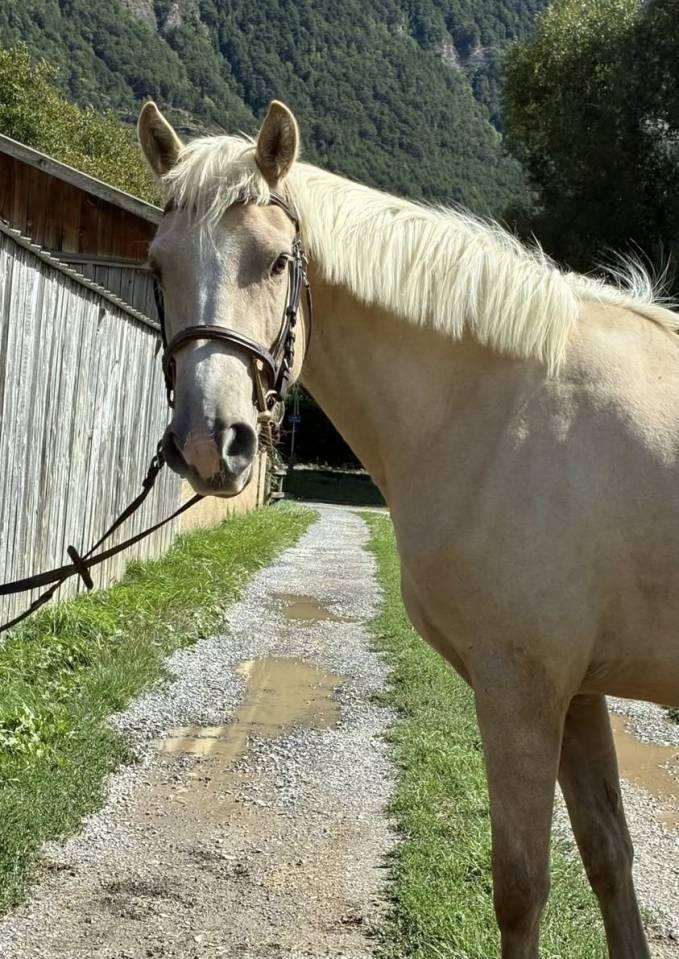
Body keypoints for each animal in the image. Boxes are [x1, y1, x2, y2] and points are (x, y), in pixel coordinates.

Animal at [137, 98, 679, 959]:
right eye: (158, 267)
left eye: (276, 262)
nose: (207, 441)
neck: (505, 407)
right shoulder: (578, 688)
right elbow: (606, 855)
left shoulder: (520, 688)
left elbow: (520, 886)